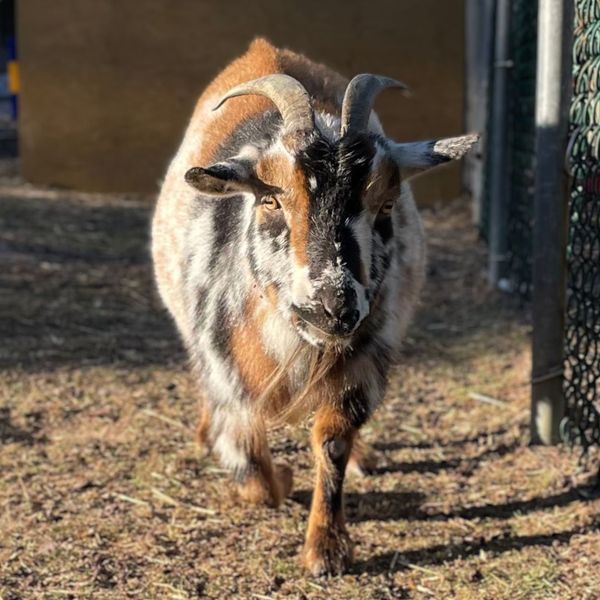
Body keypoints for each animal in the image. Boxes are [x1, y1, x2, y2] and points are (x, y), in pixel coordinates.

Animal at [151, 38, 478, 576]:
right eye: (270, 200)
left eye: (386, 204)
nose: (333, 307)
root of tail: (263, 49)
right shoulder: (224, 364)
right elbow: (253, 472)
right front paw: (280, 477)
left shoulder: (364, 358)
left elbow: (332, 441)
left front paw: (326, 548)